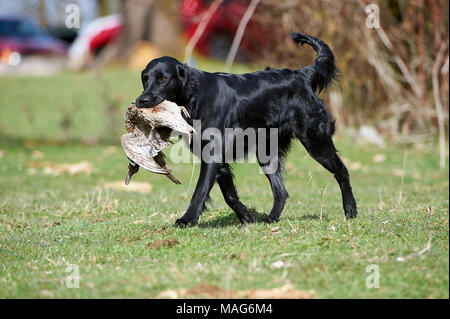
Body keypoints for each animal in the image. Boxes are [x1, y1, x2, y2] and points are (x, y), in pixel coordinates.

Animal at [137, 33, 358, 228]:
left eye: (163, 78)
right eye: (145, 79)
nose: (142, 100)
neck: (196, 96)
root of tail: (302, 75)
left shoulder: (212, 155)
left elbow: (200, 191)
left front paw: (187, 219)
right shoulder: (220, 161)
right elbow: (230, 195)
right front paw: (246, 216)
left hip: (316, 141)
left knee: (342, 171)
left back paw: (350, 210)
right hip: (267, 153)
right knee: (281, 191)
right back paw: (271, 219)